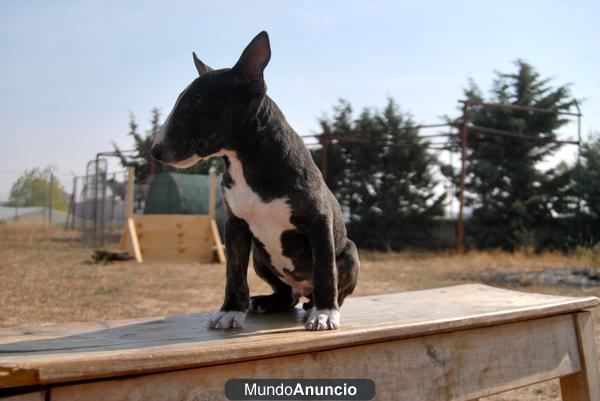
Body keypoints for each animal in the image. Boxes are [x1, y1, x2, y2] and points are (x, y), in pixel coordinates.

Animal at [152, 31, 358, 330]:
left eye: (199, 99)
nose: (155, 150)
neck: (245, 161)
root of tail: (302, 289)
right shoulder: (235, 226)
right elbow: (234, 272)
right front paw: (230, 310)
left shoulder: (318, 220)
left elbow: (325, 270)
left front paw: (325, 313)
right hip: (261, 260)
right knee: (286, 296)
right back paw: (262, 302)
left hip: (350, 252)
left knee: (330, 287)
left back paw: (315, 307)